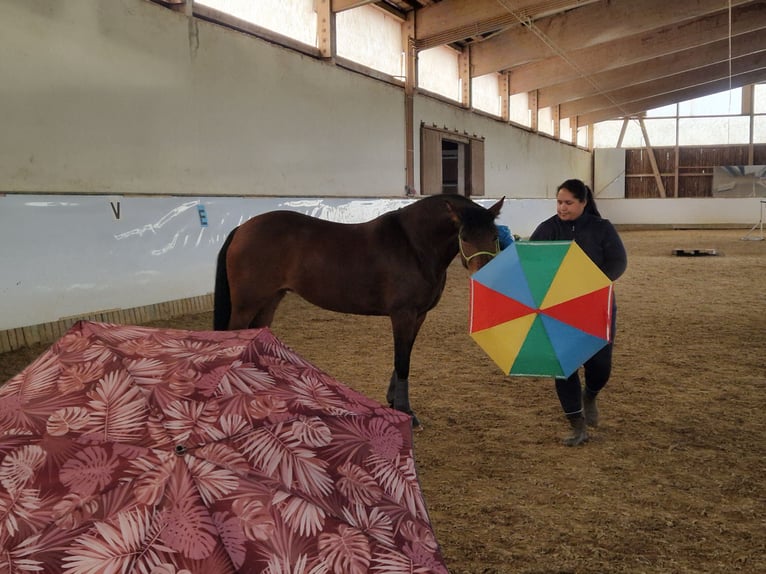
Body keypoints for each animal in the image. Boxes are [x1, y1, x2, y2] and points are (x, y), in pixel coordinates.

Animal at [213, 196, 508, 430]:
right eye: (464, 237)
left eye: (495, 236)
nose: (488, 277)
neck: (414, 246)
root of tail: (242, 228)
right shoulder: (403, 314)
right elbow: (402, 360)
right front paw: (407, 413)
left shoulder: (419, 315)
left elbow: (405, 356)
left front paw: (393, 401)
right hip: (246, 304)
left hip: (270, 300)